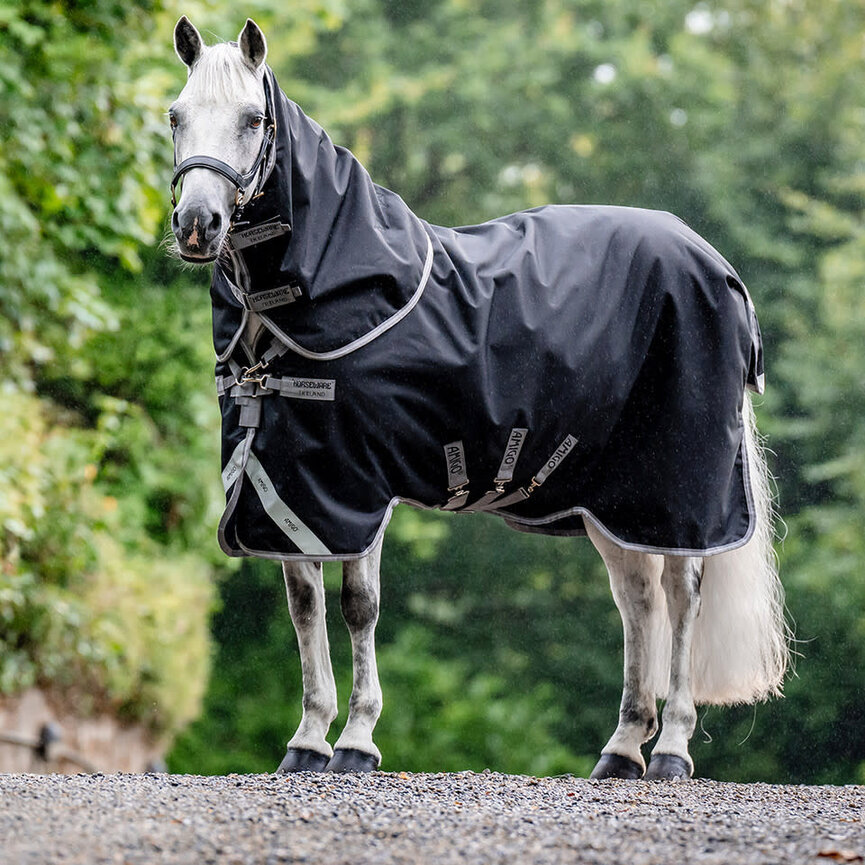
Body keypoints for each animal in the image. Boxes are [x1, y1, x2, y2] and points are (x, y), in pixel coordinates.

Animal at [167, 16, 788, 780]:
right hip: (619, 499)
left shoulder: (356, 483)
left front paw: (356, 740)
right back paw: (620, 749)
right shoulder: (291, 484)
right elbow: (304, 606)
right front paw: (306, 739)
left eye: (253, 119)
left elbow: (358, 604)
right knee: (638, 598)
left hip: (681, 487)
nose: (197, 225)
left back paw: (669, 747)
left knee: (682, 593)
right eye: (176, 115)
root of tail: (716, 265)